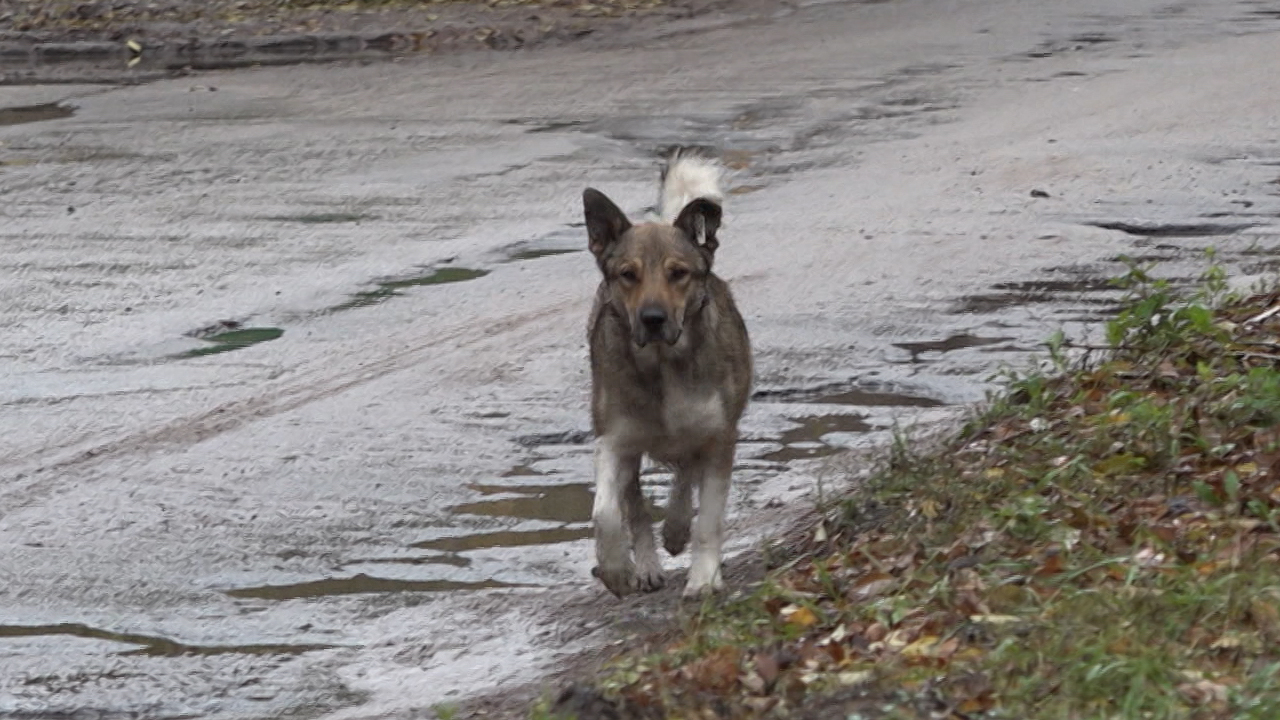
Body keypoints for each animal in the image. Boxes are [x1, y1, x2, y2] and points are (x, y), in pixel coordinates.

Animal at [581, 152, 747, 594]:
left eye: (678, 273)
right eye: (627, 274)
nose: (652, 318)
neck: (662, 367)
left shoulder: (719, 436)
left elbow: (708, 517)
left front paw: (704, 578)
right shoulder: (615, 439)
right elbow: (607, 512)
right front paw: (616, 569)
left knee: (686, 477)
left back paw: (675, 529)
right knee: (636, 505)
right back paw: (648, 564)